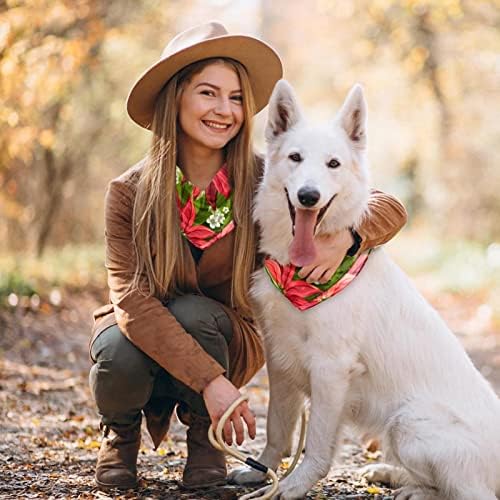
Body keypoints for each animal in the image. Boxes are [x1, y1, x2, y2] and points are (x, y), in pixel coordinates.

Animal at [229, 80, 500, 498]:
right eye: (295, 158)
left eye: (333, 164)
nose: (308, 196)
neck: (303, 274)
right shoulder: (281, 360)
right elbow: (277, 429)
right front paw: (262, 472)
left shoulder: (330, 369)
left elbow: (317, 445)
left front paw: (291, 486)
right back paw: (389, 474)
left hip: (407, 423)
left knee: (469, 493)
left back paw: (413, 489)